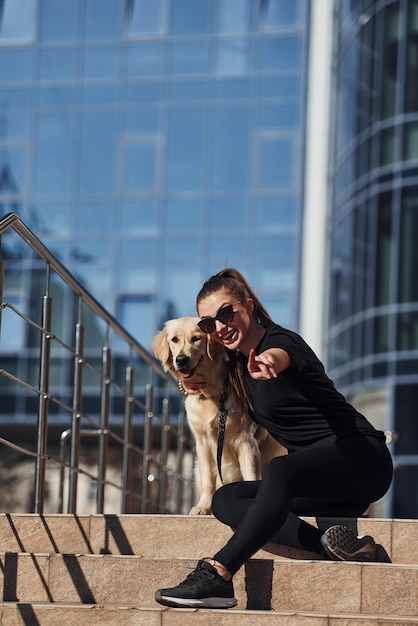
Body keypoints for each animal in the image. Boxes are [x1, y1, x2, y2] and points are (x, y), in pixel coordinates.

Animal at [152, 314, 286, 516]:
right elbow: (209, 480)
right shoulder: (202, 444)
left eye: (196, 338)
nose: (181, 359)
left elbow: (251, 475)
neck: (213, 394)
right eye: (174, 340)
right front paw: (203, 506)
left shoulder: (246, 441)